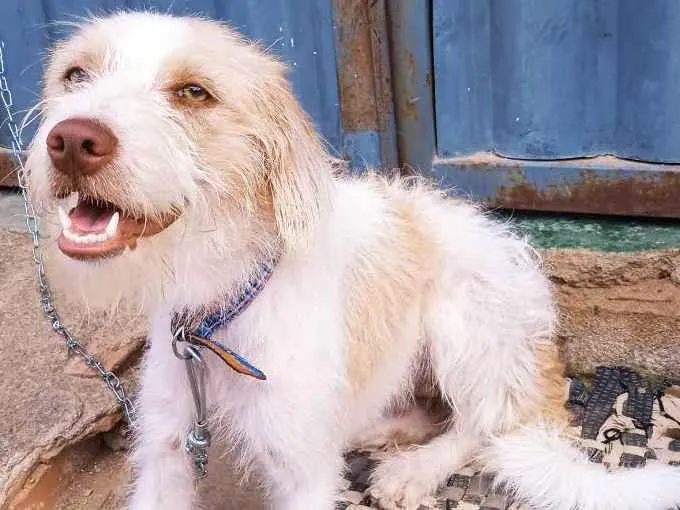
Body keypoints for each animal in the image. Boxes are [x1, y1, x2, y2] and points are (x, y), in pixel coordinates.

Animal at [23, 10, 680, 510]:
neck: (220, 309)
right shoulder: (165, 448)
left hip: (464, 321)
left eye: (193, 92)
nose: (72, 141)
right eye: (75, 74)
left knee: (483, 423)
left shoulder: (301, 478)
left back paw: (413, 469)